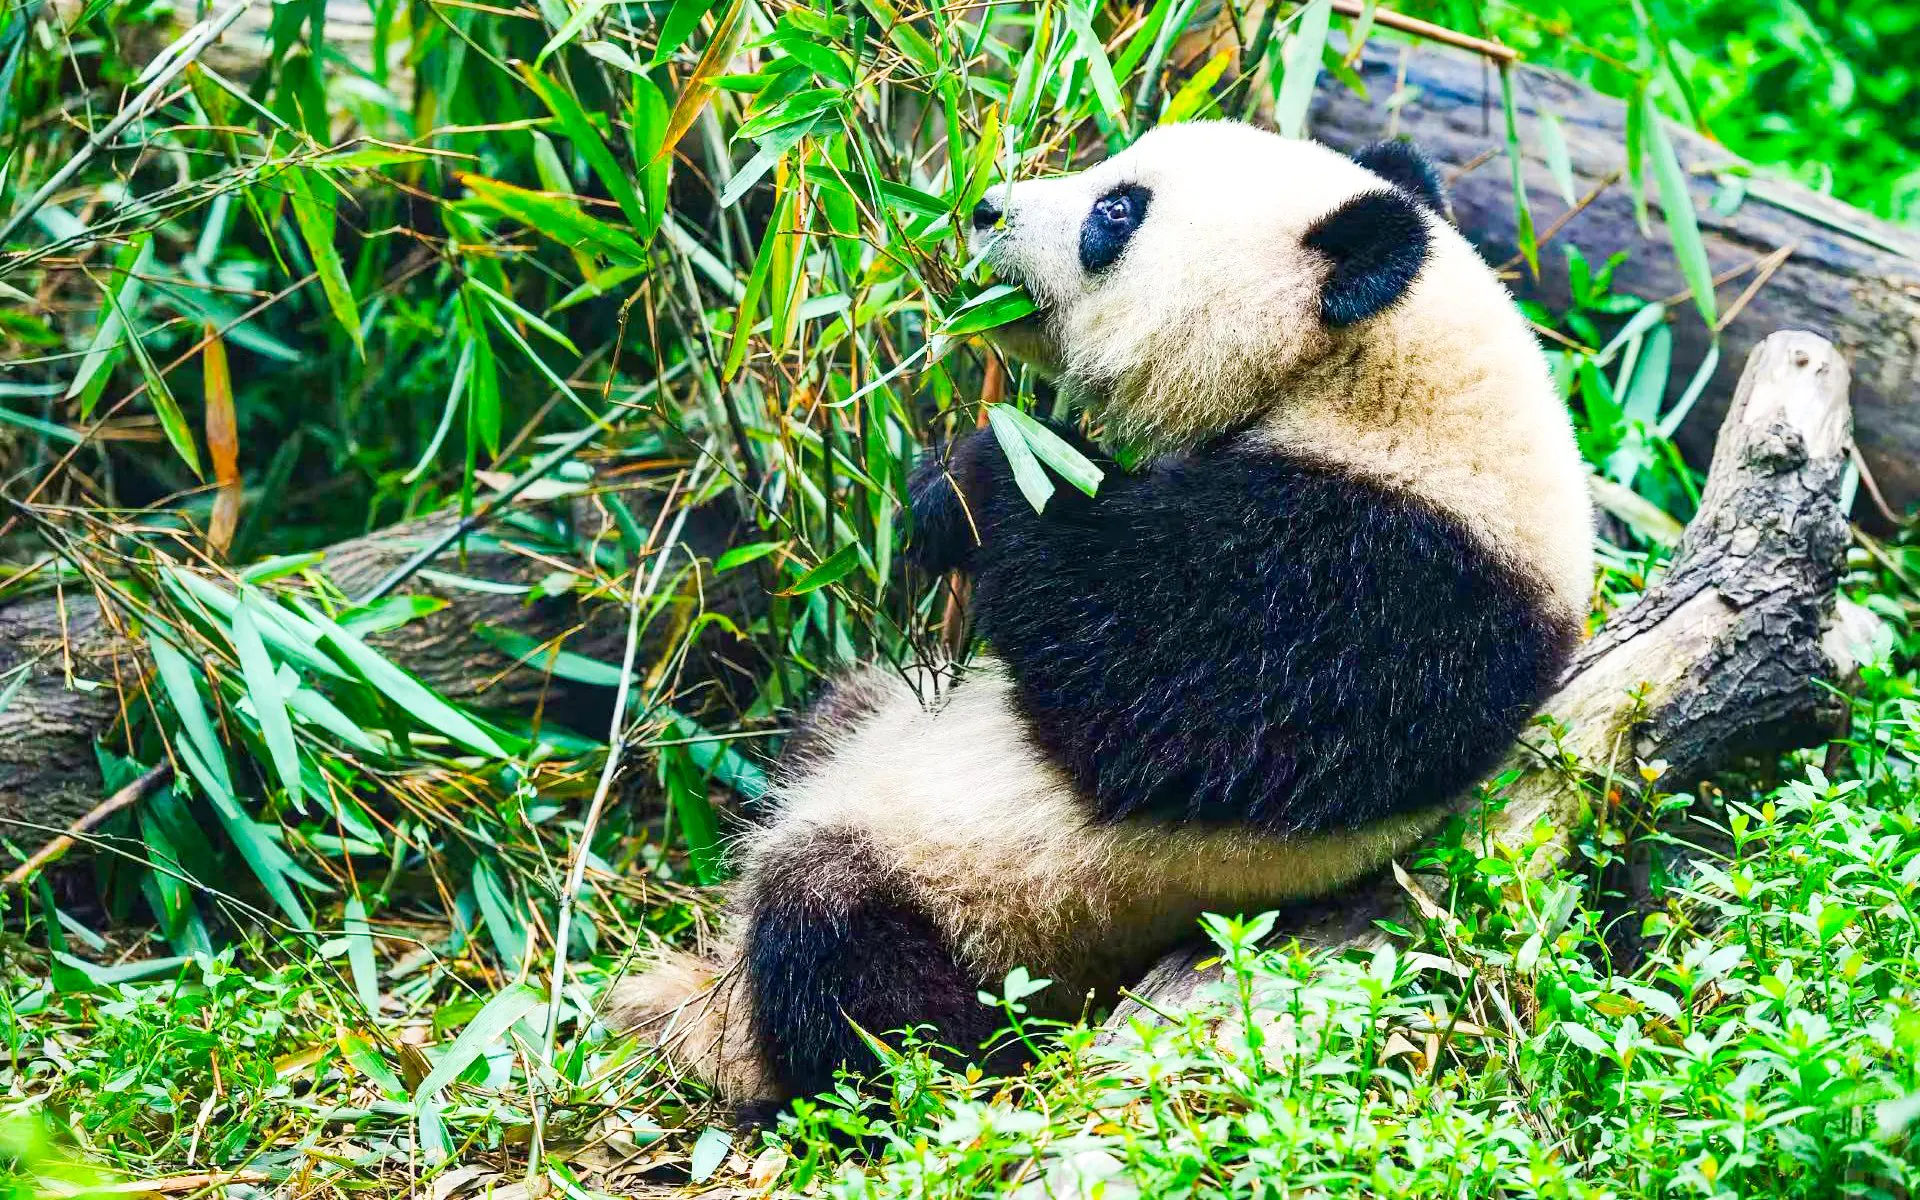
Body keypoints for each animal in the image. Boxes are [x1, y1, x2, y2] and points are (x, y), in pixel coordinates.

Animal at [609, 121, 1595, 1104]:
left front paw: (986, 472)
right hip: (876, 727)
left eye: (1116, 210)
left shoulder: (1393, 582)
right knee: (833, 719)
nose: (984, 207)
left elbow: (1154, 703)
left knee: (843, 951)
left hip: (996, 916)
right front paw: (941, 492)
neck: (1376, 383)